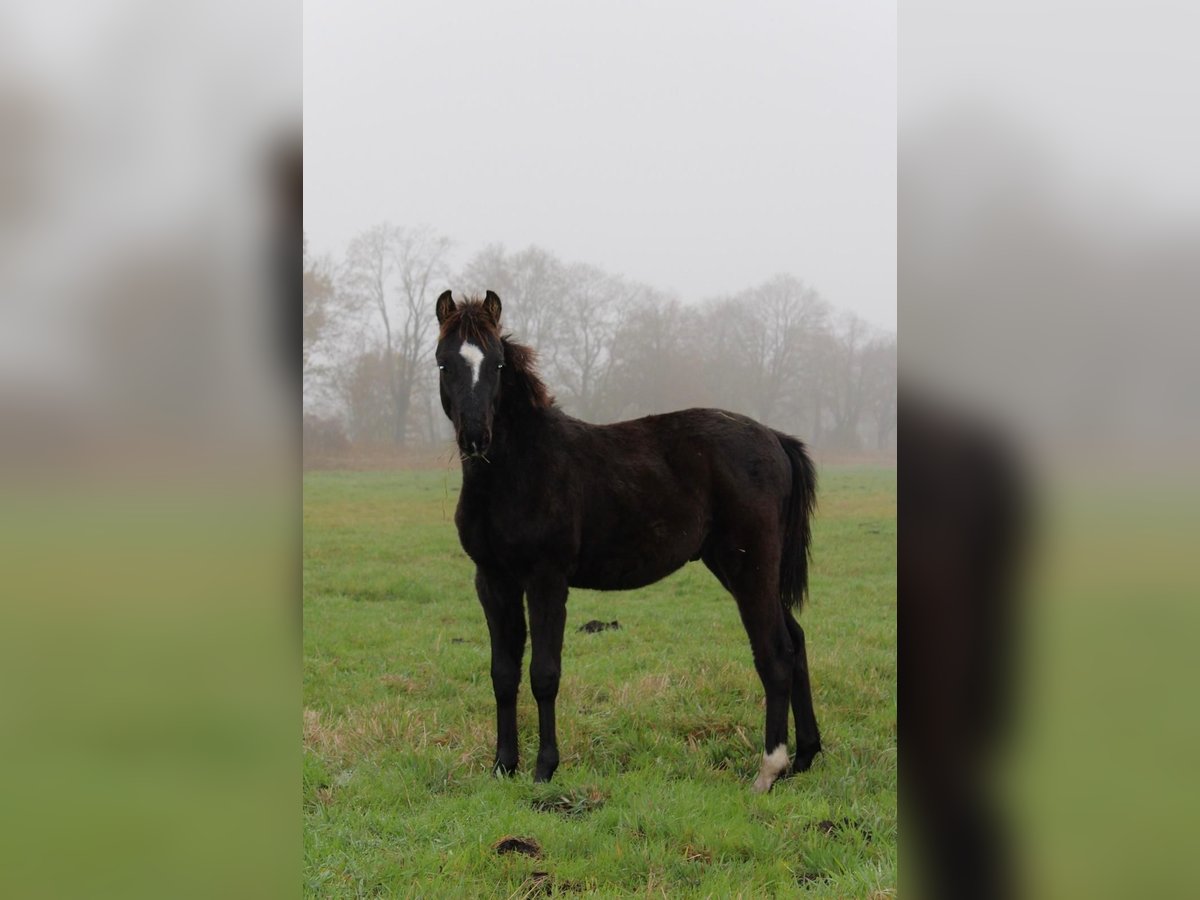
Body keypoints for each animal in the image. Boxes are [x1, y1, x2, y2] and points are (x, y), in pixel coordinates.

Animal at [436, 292, 820, 792]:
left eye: (497, 363)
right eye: (445, 363)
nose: (476, 438)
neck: (516, 472)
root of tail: (774, 438)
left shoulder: (546, 579)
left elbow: (544, 673)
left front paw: (545, 769)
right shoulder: (493, 580)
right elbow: (503, 673)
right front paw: (503, 766)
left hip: (750, 566)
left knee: (775, 653)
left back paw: (768, 770)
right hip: (740, 567)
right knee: (795, 641)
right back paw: (806, 755)